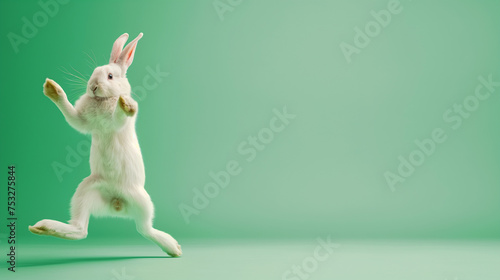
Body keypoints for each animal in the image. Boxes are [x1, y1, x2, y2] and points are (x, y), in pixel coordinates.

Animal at [28, 32, 182, 256]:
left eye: (110, 76)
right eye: (94, 72)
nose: (93, 86)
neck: (102, 100)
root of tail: (116, 203)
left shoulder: (115, 123)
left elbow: (119, 116)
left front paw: (126, 104)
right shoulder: (82, 121)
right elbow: (70, 114)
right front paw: (52, 89)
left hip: (143, 201)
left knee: (146, 229)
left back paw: (174, 248)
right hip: (85, 192)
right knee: (80, 229)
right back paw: (43, 227)